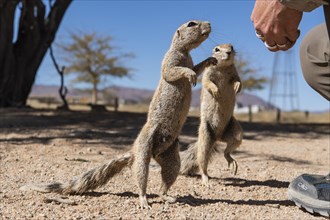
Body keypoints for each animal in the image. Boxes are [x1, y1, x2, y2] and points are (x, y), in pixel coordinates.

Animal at [20, 20, 217, 208]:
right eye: (191, 24)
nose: (209, 23)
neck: (184, 52)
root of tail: (136, 152)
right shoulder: (170, 61)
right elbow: (174, 71)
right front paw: (190, 74)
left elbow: (197, 67)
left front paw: (211, 60)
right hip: (144, 150)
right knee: (140, 175)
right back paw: (143, 200)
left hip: (171, 157)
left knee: (166, 179)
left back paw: (167, 197)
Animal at [180, 43, 242, 185]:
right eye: (217, 49)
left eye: (231, 46)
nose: (229, 52)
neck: (223, 68)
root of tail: (217, 137)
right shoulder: (207, 74)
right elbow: (207, 82)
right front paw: (216, 91)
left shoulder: (235, 73)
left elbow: (239, 80)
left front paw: (237, 87)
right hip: (205, 137)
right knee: (202, 161)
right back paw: (206, 179)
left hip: (236, 134)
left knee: (226, 152)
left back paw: (231, 161)